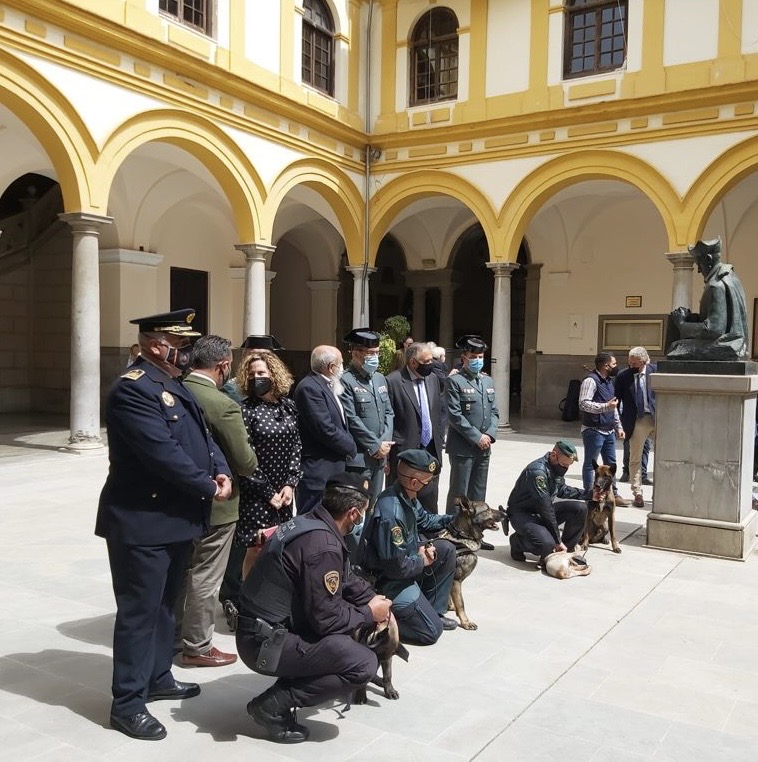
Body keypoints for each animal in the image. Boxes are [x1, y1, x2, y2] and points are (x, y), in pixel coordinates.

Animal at [436, 492, 508, 628]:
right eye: (487, 509)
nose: (505, 514)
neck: (463, 536)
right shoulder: (456, 581)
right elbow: (461, 603)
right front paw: (465, 622)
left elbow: (450, 598)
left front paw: (450, 606)